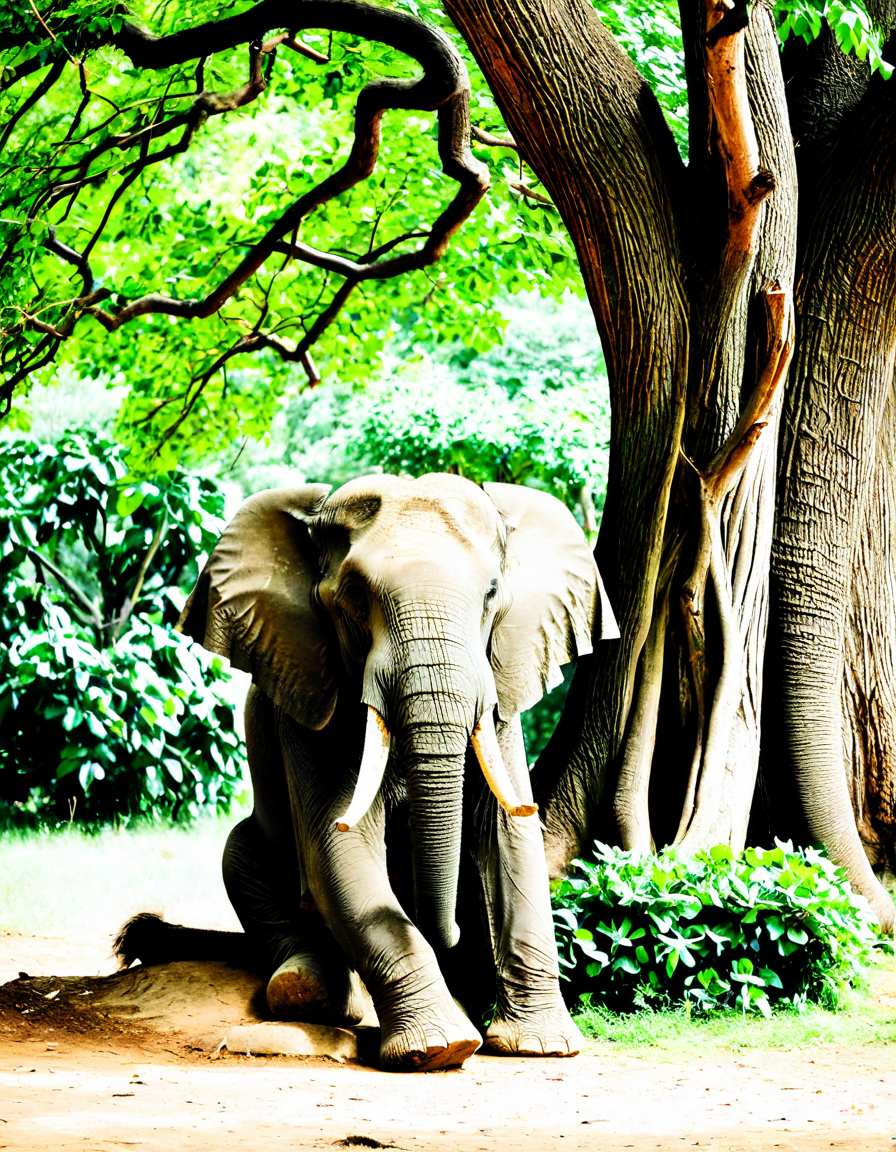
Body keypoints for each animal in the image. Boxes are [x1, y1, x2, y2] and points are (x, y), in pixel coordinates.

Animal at [117, 472, 617, 1071]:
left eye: (492, 594)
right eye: (354, 598)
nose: (448, 931)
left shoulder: (499, 689)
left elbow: (511, 838)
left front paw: (543, 1047)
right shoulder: (311, 688)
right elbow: (336, 845)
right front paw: (439, 1049)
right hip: (252, 853)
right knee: (241, 860)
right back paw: (307, 988)